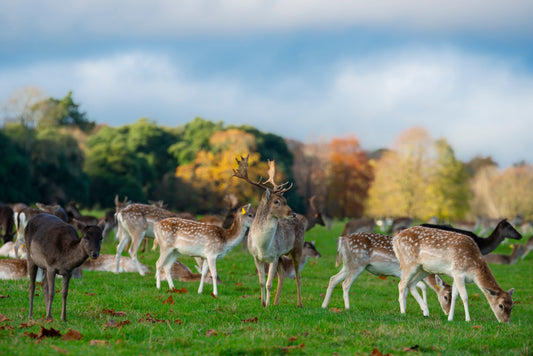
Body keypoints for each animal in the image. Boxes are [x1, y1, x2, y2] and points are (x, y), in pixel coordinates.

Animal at [232, 154, 306, 308]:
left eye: (285, 200)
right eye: (276, 201)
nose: (293, 213)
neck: (262, 246)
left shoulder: (274, 256)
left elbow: (269, 283)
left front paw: (267, 305)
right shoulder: (256, 257)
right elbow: (261, 282)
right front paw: (263, 303)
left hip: (297, 248)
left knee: (298, 276)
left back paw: (299, 304)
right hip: (282, 256)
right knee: (283, 275)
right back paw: (276, 303)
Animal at [322, 234, 450, 318]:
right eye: (446, 297)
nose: (448, 312)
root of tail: (342, 240)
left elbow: (408, 290)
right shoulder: (403, 273)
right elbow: (420, 286)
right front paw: (420, 310)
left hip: (346, 266)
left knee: (333, 279)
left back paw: (324, 305)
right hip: (357, 265)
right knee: (345, 284)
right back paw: (347, 308)